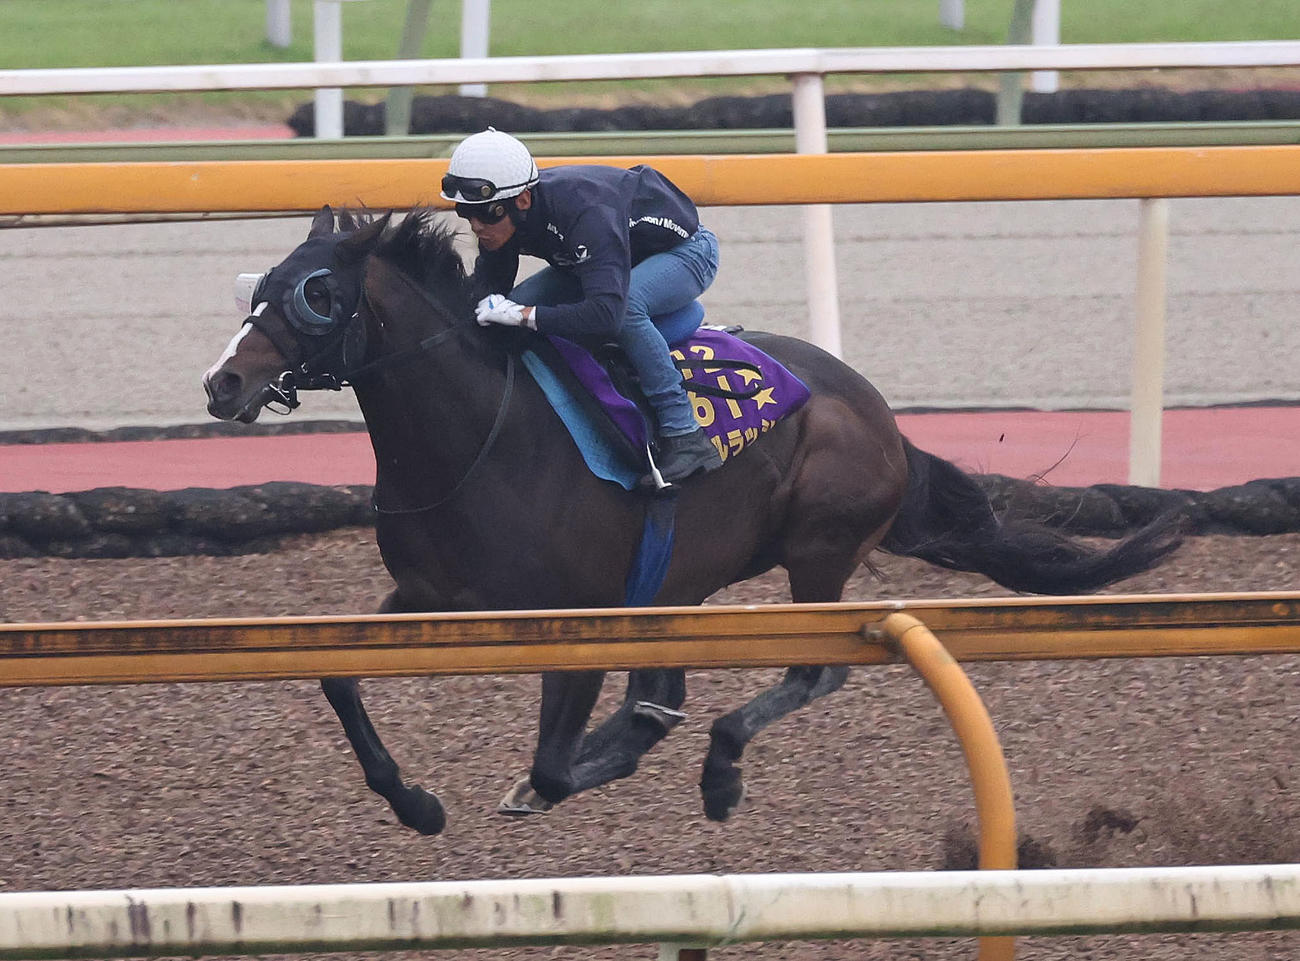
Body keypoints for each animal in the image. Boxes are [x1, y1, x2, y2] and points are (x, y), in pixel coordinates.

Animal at [202, 206, 1182, 835]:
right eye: (260, 284)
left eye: (317, 292)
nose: (222, 382)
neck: (480, 434)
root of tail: (883, 417)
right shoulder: (433, 595)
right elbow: (338, 678)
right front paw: (415, 803)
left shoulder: (580, 614)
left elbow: (553, 762)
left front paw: (555, 778)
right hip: (683, 577)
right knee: (677, 681)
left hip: (817, 549)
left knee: (814, 669)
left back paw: (717, 766)